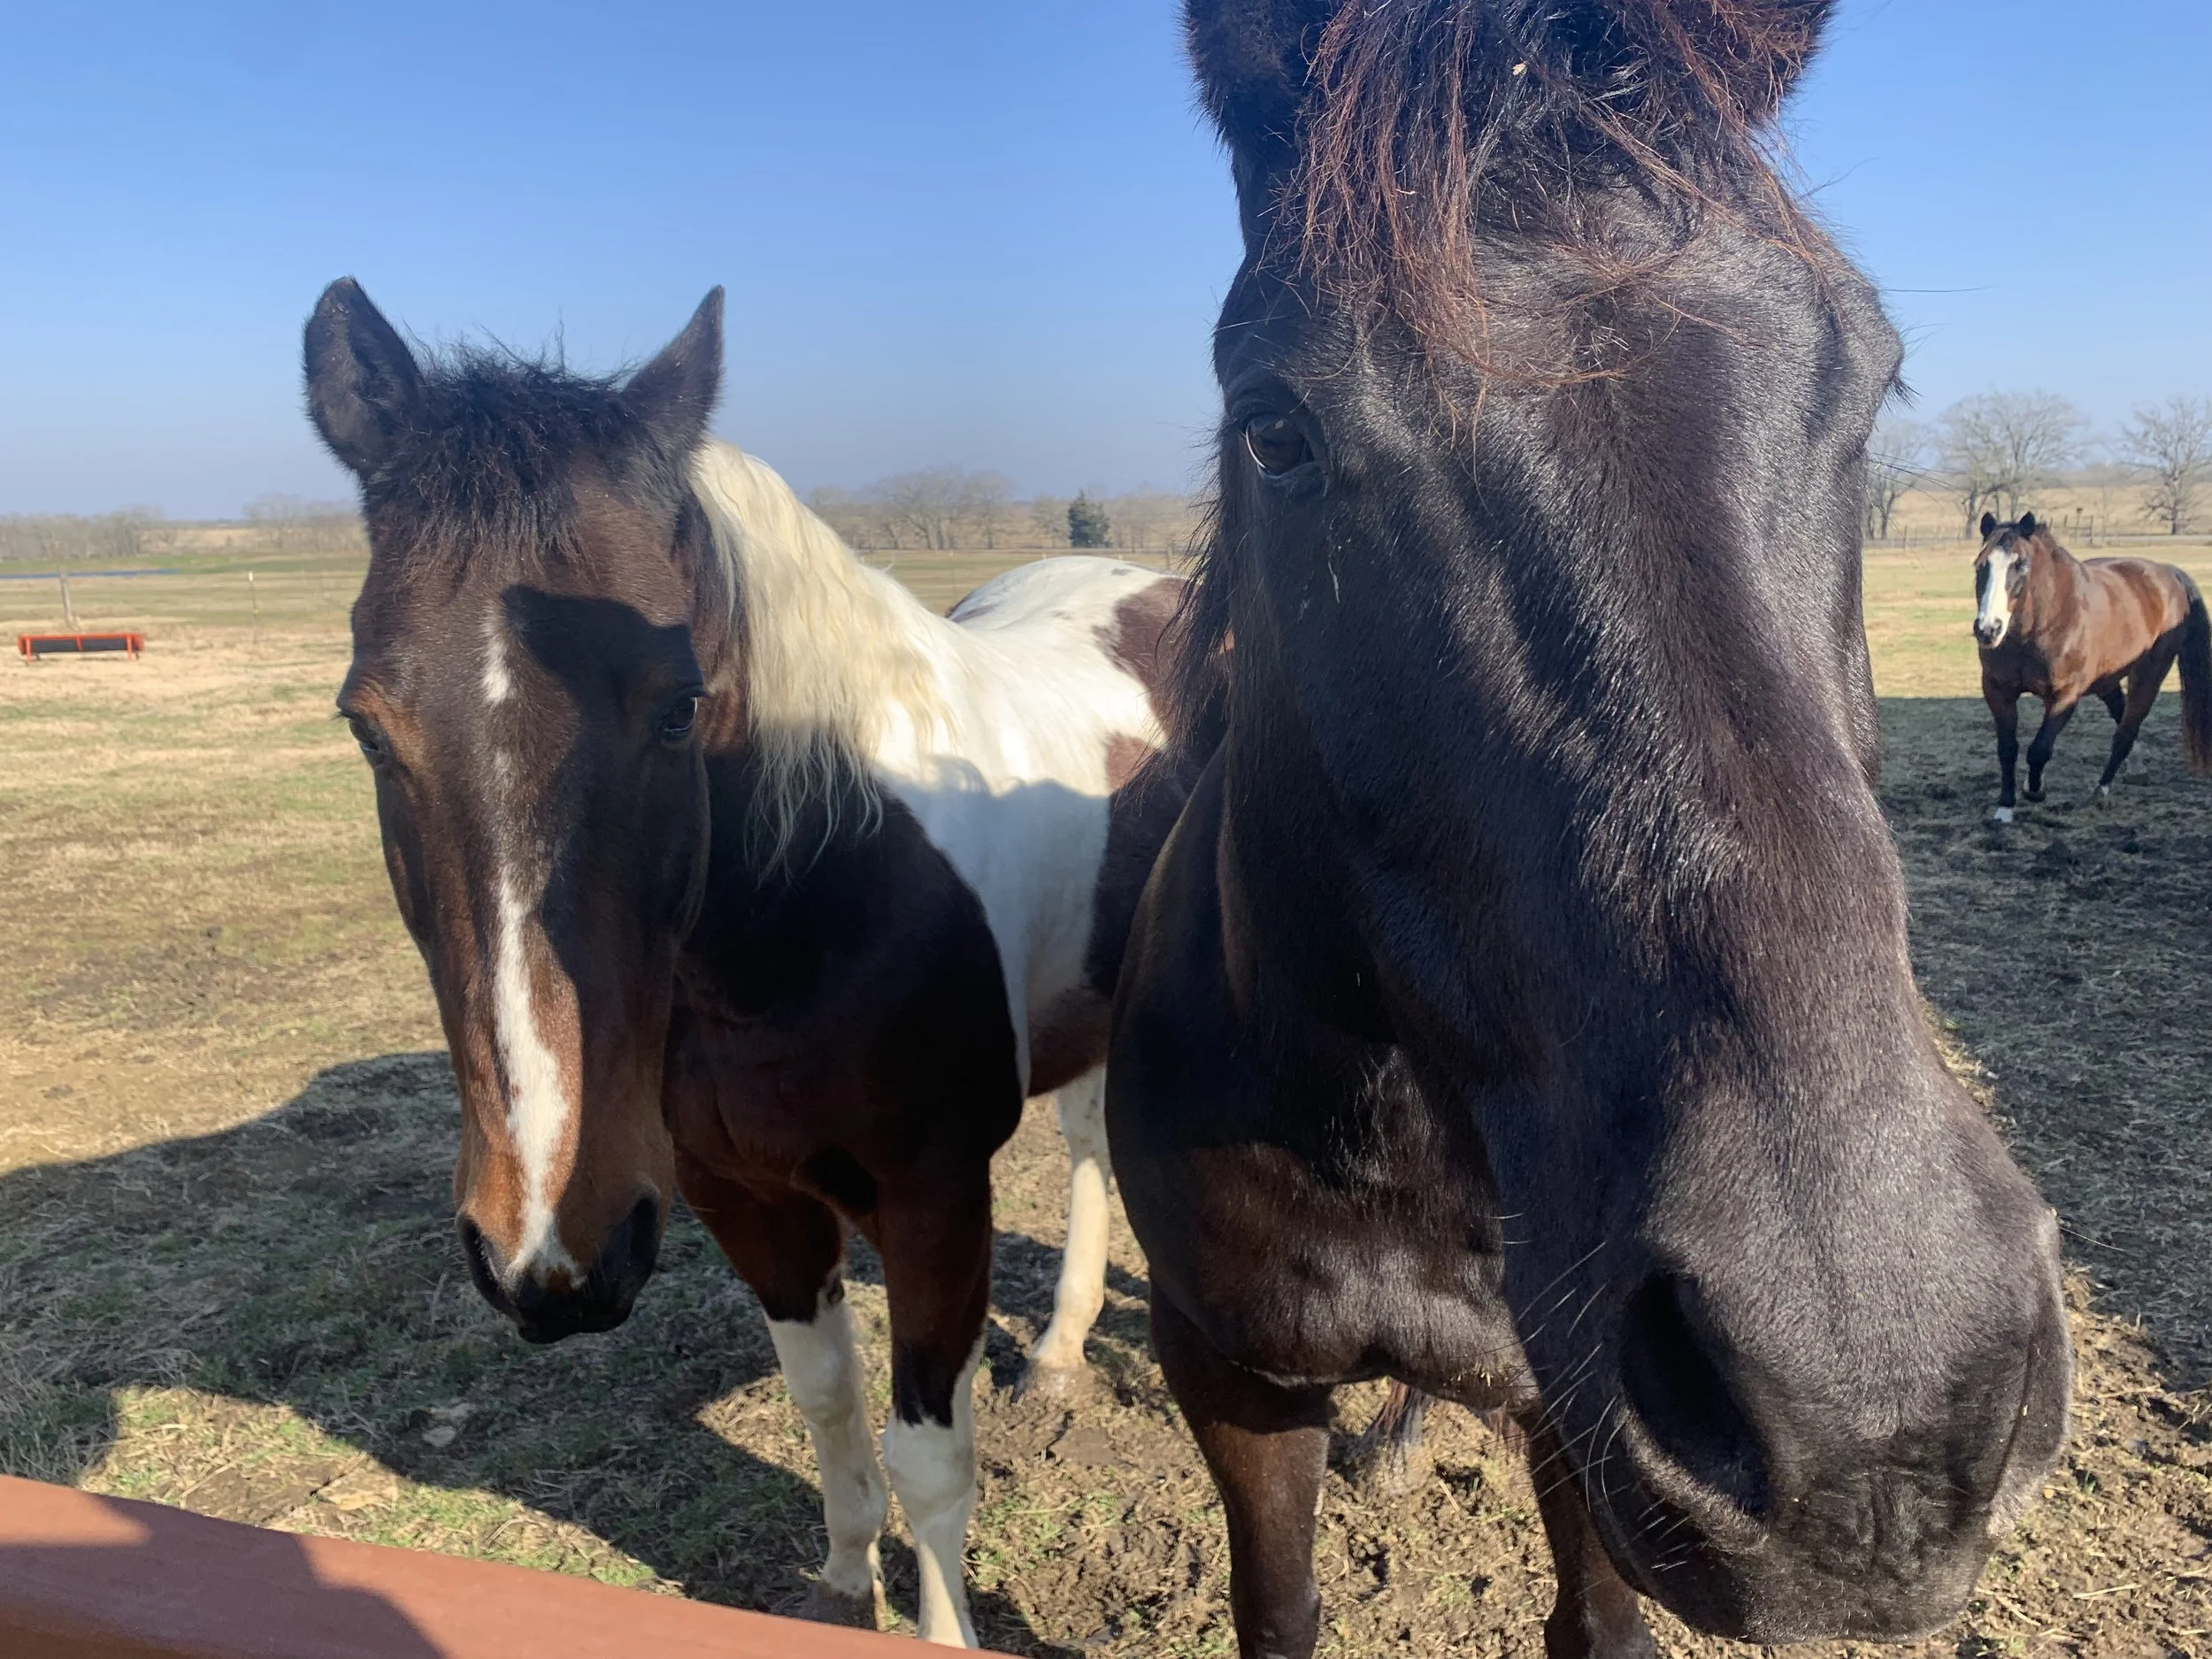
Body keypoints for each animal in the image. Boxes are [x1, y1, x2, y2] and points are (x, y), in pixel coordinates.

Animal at [304, 280, 1195, 1647]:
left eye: (678, 705)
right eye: (366, 724)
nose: (547, 1257)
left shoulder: (935, 1199)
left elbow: (929, 1456)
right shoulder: (740, 1197)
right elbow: (826, 1406)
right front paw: (837, 1585)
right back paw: (1057, 1352)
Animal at [1105, 4, 2074, 1656]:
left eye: (1870, 384)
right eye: (1274, 429)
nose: (1878, 1423)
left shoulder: (1579, 1427)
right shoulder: (1226, 1370)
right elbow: (1278, 1606)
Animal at [1973, 510, 2212, 822]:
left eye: (2021, 565)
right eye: (1981, 565)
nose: (1988, 629)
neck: (2037, 627)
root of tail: (2168, 573)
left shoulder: (2065, 695)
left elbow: (2039, 748)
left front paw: (2034, 789)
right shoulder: (1997, 690)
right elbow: (2007, 749)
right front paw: (2005, 807)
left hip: (2148, 675)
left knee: (2125, 733)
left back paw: (2100, 791)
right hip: (2107, 682)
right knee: (2123, 719)